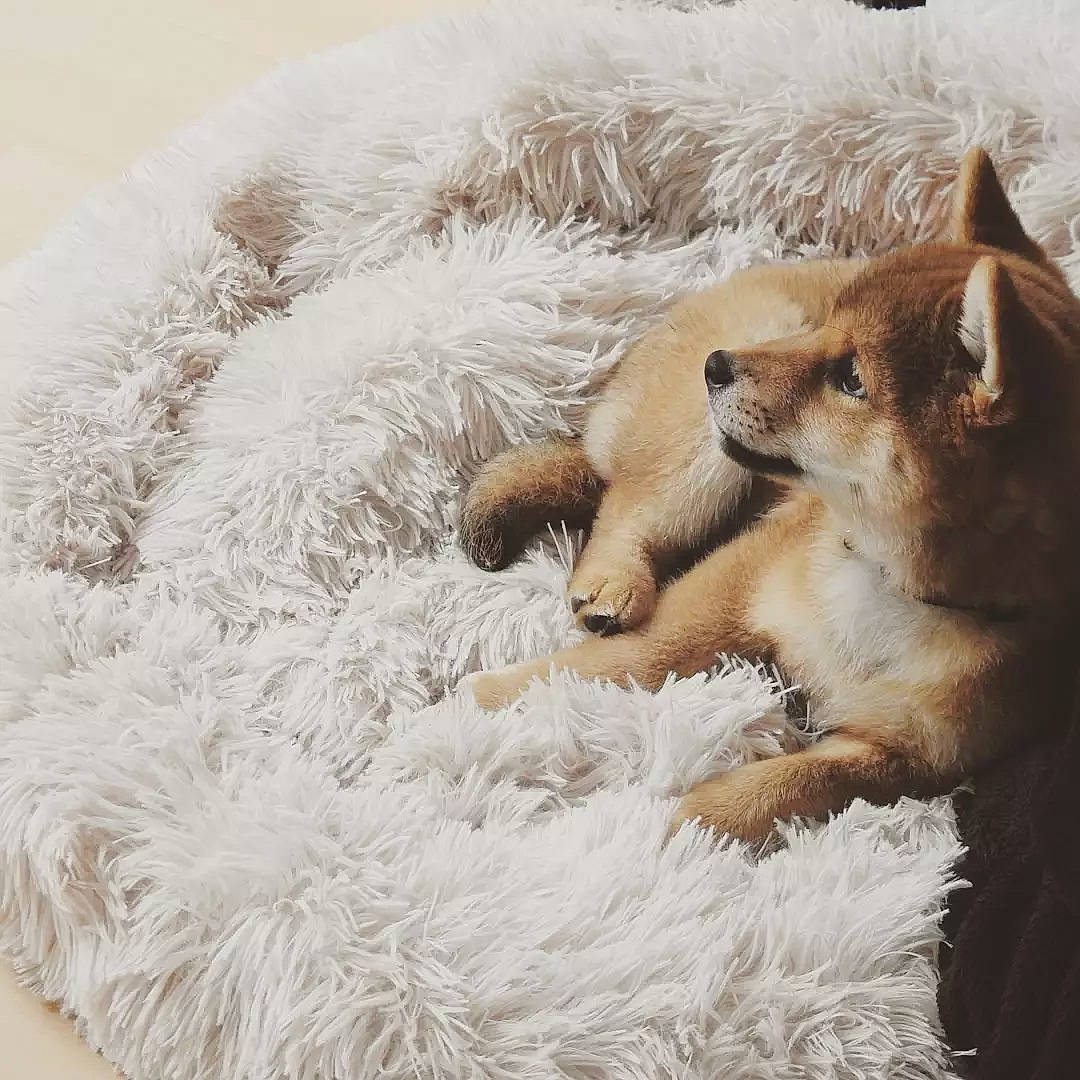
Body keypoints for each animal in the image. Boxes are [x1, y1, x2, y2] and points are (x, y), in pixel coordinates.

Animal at [456, 149, 1080, 842]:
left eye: (851, 379)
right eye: (830, 328)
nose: (716, 365)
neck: (888, 579)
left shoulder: (906, 756)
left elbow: (795, 785)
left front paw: (694, 823)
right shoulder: (725, 592)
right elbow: (629, 660)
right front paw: (487, 701)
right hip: (701, 455)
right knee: (622, 508)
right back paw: (613, 584)